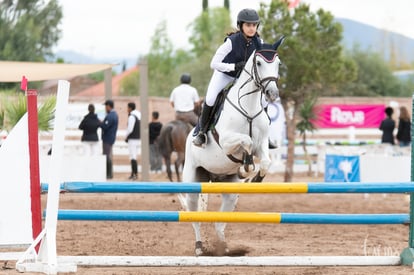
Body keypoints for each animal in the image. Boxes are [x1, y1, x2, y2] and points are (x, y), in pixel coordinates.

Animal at [181, 37, 284, 256]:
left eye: (278, 63)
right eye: (259, 63)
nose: (272, 94)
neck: (249, 107)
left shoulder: (263, 143)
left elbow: (265, 161)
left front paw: (255, 177)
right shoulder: (227, 142)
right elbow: (246, 141)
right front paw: (246, 167)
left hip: (230, 192)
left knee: (220, 222)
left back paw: (223, 248)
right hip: (193, 181)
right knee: (195, 218)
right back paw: (199, 247)